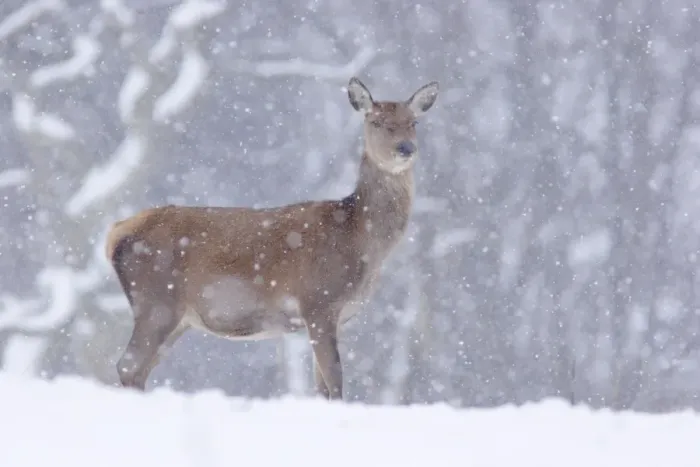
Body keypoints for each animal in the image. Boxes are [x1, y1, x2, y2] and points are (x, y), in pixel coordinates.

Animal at [104, 76, 439, 400]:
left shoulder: (335, 316)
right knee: (128, 365)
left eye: (413, 122)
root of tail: (115, 234)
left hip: (176, 316)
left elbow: (322, 388)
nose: (406, 148)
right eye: (376, 121)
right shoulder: (318, 303)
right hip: (157, 300)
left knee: (139, 368)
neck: (360, 240)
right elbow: (335, 381)